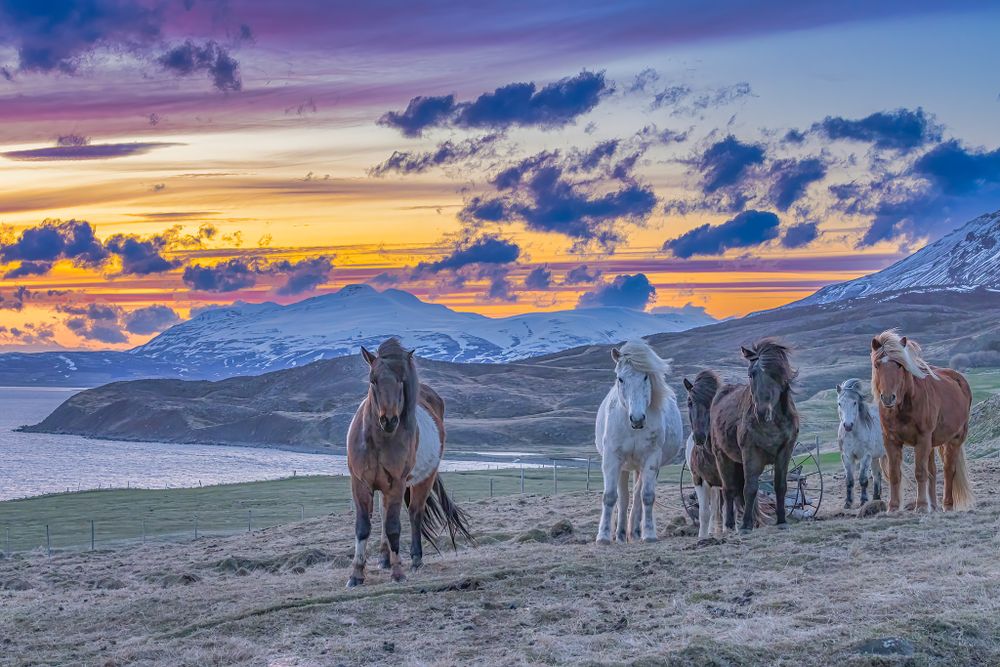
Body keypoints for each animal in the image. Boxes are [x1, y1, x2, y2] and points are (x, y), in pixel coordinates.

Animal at [346, 338, 472, 587]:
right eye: (373, 380)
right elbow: (363, 527)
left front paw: (398, 573)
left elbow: (394, 527)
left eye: (401, 380)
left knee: (415, 513)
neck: (378, 441)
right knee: (385, 514)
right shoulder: (361, 483)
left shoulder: (396, 483)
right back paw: (384, 559)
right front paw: (356, 575)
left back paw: (415, 559)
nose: (389, 420)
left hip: (424, 479)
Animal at [595, 339, 684, 544]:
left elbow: (647, 496)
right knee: (624, 497)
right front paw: (603, 536)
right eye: (620, 379)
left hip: (642, 467)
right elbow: (610, 497)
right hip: (624, 466)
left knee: (636, 497)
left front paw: (649, 534)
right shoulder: (612, 458)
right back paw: (620, 534)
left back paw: (635, 531)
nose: (637, 419)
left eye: (645, 377)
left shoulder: (651, 458)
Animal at [711, 339, 799, 533]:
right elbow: (750, 488)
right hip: (722, 457)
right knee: (728, 490)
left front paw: (782, 521)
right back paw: (730, 525)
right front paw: (745, 525)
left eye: (776, 373)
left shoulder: (785, 451)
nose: (762, 412)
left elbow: (780, 486)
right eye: (751, 374)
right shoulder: (750, 452)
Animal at [836, 378, 885, 509]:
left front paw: (863, 501)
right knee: (877, 474)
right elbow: (849, 480)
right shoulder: (847, 457)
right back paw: (876, 497)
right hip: (875, 457)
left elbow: (863, 479)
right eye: (839, 403)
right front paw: (848, 502)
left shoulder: (865, 456)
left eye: (854, 403)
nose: (848, 425)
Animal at [871, 330, 974, 512]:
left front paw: (921, 506)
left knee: (948, 470)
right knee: (932, 470)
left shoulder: (922, 439)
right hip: (932, 443)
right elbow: (894, 473)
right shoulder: (890, 440)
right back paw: (934, 506)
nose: (888, 398)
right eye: (877, 365)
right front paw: (893, 507)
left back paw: (946, 505)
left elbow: (920, 472)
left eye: (899, 365)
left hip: (954, 439)